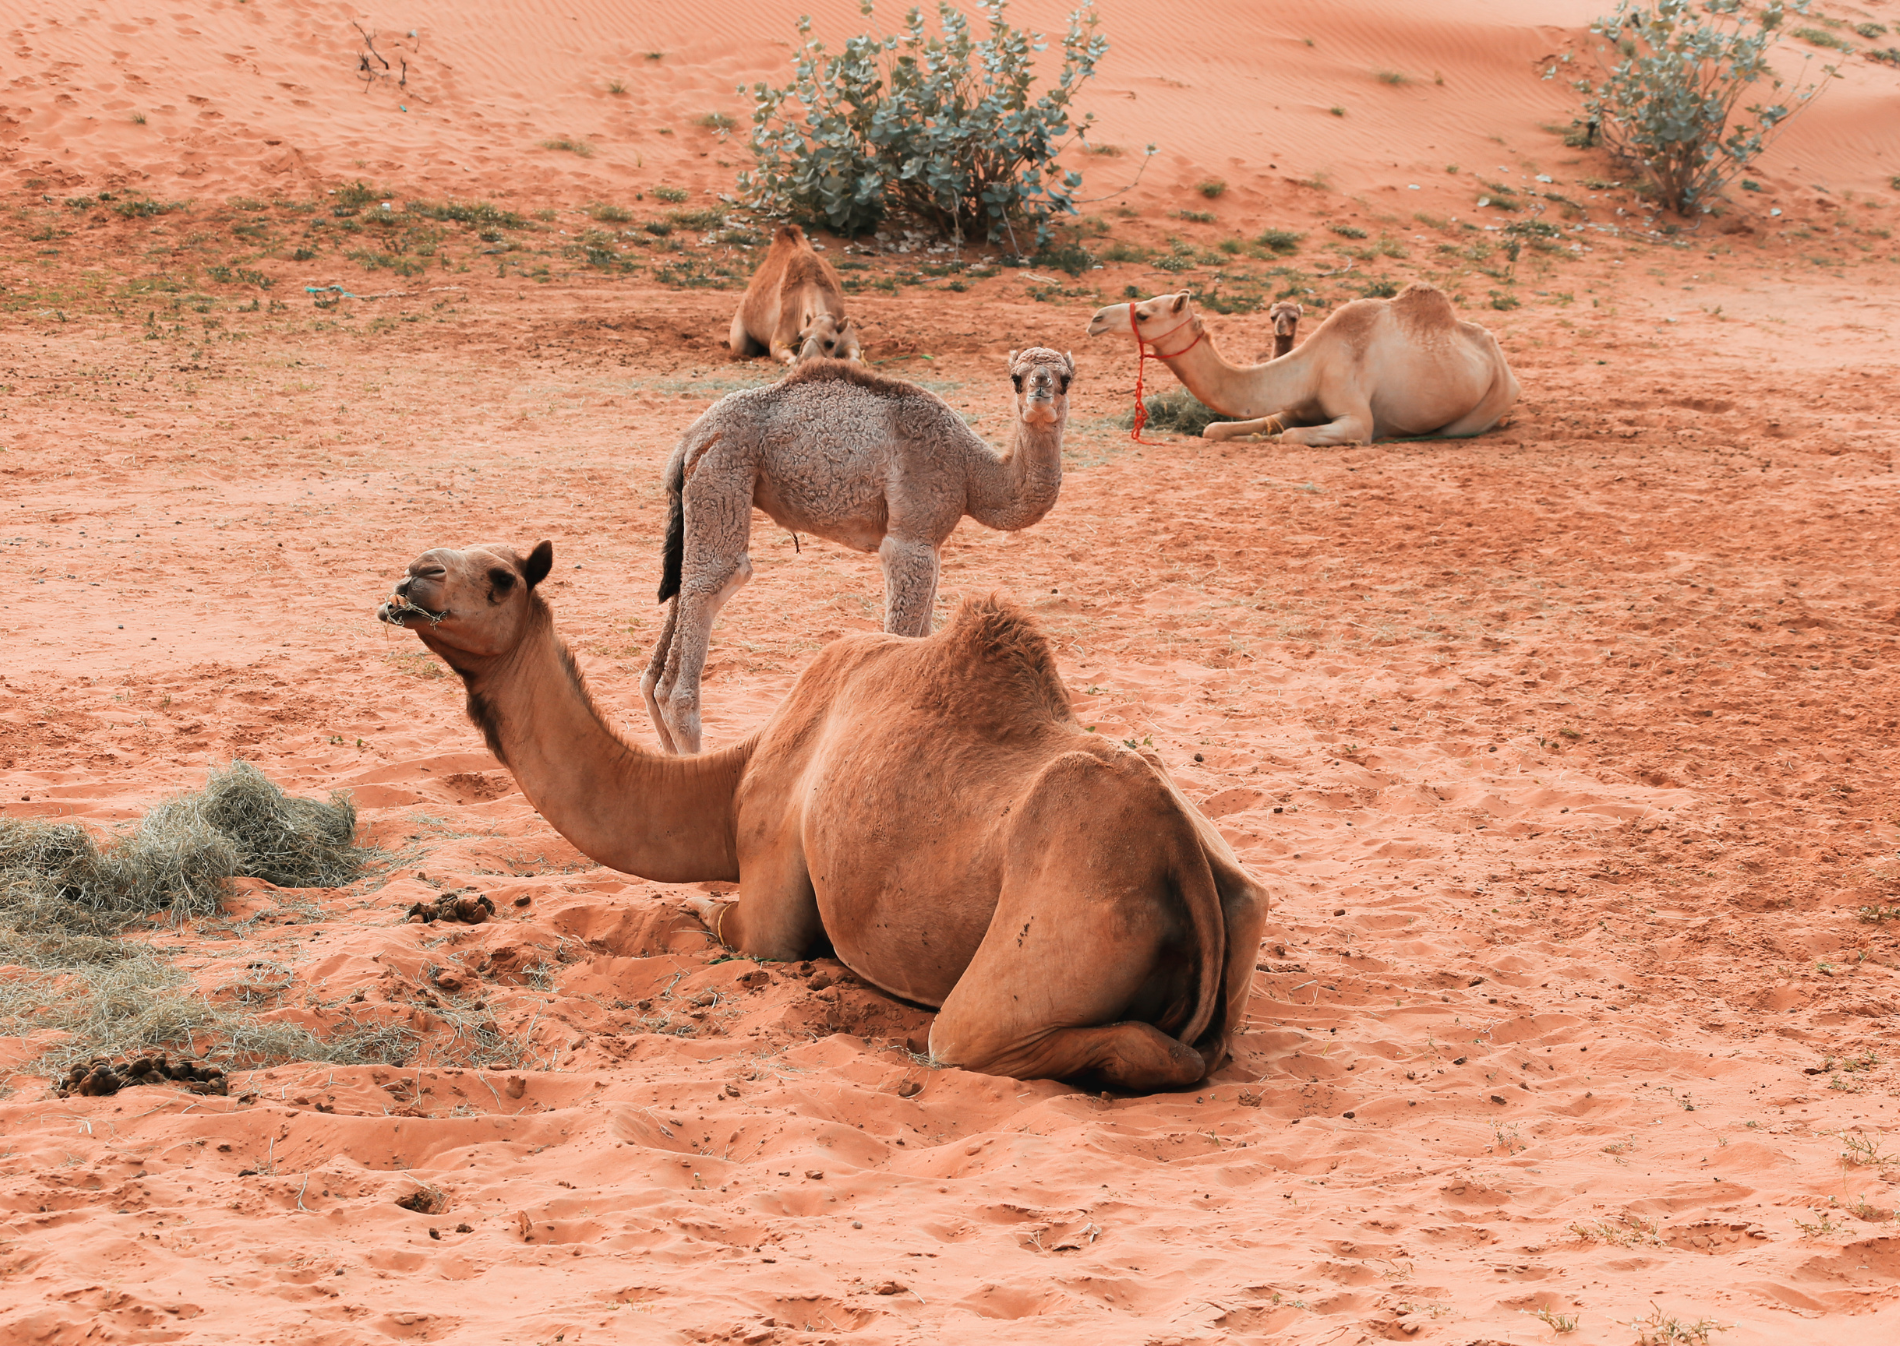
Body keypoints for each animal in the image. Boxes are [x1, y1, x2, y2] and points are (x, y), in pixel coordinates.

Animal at [378, 547, 1267, 1091]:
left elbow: (724, 924)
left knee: (992, 1039)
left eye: (499, 577)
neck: (733, 778)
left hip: (1037, 950)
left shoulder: (769, 879)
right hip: (1241, 893)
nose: (412, 580)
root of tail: (1178, 853)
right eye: (436, 562)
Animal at [642, 349, 1074, 755]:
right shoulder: (910, 537)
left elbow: (924, 633)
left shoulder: (931, 543)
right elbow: (902, 633)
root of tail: (692, 437)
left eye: (1066, 378)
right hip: (724, 471)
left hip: (698, 498)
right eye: (1015, 377)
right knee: (715, 583)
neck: (973, 474)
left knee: (674, 616)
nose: (1039, 387)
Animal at [729, 224, 863, 364]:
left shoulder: (847, 335)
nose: (806, 359)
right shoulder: (780, 336)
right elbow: (784, 354)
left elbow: (854, 358)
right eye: (801, 337)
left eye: (830, 343)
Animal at [1087, 284, 1519, 446]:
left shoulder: (1355, 417)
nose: (1095, 318)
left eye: (1143, 314)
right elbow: (1215, 428)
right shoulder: (1292, 409)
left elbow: (1292, 438)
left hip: (1489, 402)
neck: (1313, 366)